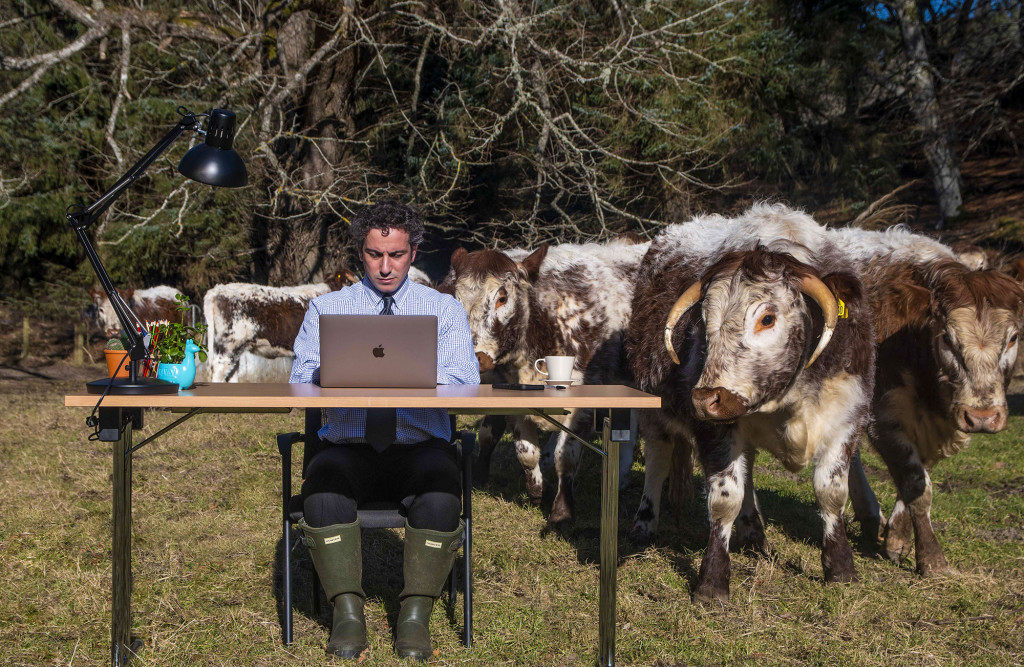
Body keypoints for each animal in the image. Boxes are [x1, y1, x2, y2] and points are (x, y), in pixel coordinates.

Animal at [440, 237, 647, 524]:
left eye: (502, 298)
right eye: (455, 299)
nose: (473, 358)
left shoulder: (585, 403)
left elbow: (566, 455)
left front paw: (562, 510)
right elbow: (525, 452)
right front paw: (537, 490)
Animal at [626, 205, 876, 602]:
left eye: (767, 318)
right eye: (704, 320)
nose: (706, 399)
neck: (788, 398)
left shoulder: (845, 419)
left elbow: (832, 493)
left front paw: (840, 568)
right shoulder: (715, 430)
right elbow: (724, 498)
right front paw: (712, 582)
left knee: (748, 467)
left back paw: (753, 533)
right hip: (653, 411)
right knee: (658, 459)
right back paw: (645, 523)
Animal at [831, 228, 1024, 573]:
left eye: (1013, 337)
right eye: (947, 338)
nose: (982, 417)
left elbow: (920, 475)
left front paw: (897, 536)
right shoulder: (883, 416)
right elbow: (915, 483)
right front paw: (932, 559)